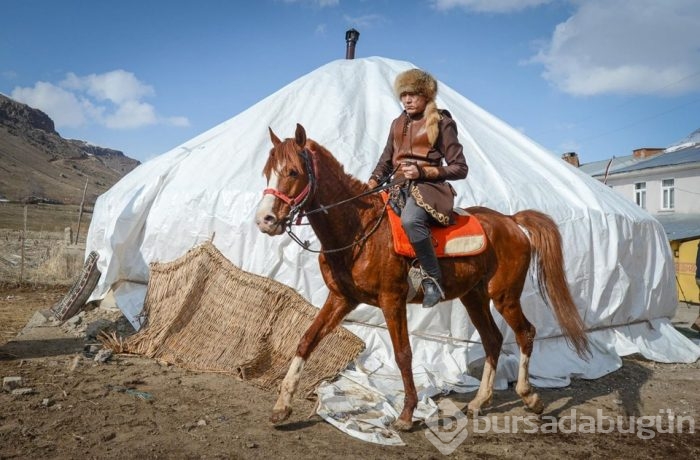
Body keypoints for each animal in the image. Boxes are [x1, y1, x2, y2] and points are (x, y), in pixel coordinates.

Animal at [254, 123, 588, 432]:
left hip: (504, 296)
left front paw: (406, 414)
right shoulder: (341, 299)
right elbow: (306, 341)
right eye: (267, 172)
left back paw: (529, 396)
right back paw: (479, 402)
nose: (264, 220)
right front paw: (281, 407)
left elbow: (403, 354)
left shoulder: (392, 300)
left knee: (525, 333)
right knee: (493, 340)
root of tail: (510, 221)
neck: (359, 228)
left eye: (293, 172)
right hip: (474, 297)